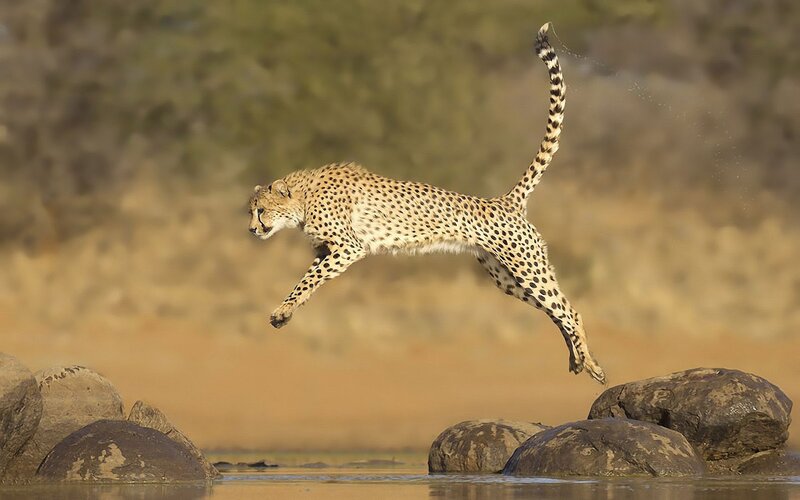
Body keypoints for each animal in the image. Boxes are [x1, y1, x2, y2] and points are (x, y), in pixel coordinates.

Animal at [248, 23, 606, 384]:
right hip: (506, 277)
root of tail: (505, 200)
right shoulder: (327, 251)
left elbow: (308, 279)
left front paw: (282, 310)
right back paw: (578, 361)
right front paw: (286, 312)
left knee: (569, 311)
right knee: (556, 312)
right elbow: (307, 280)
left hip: (526, 267)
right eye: (250, 211)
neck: (303, 197)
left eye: (261, 211)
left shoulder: (350, 247)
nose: (252, 230)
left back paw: (591, 364)